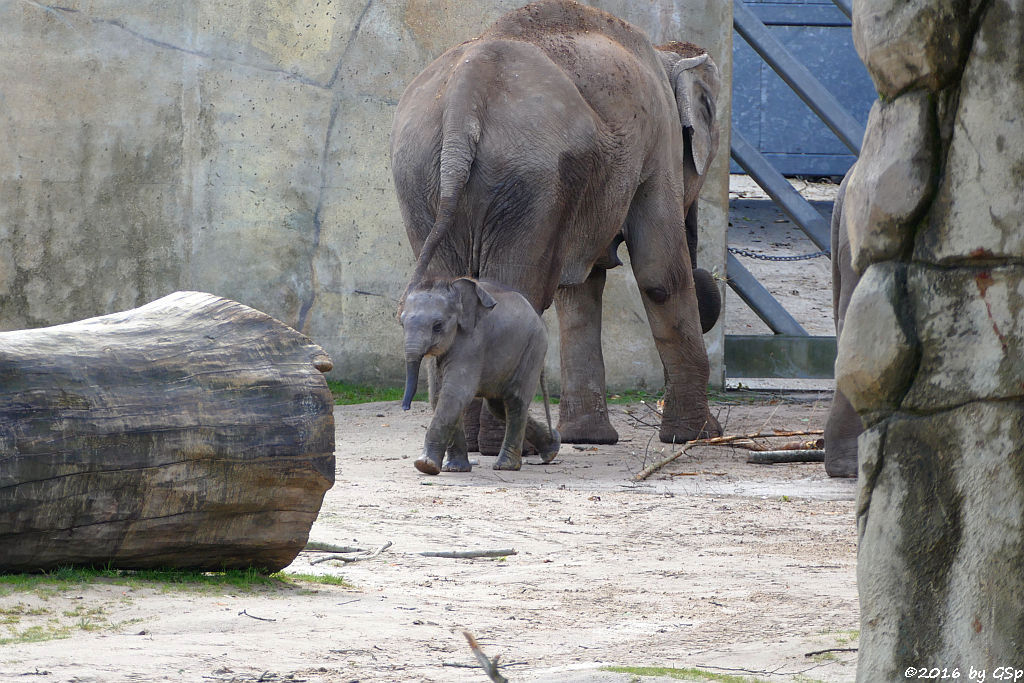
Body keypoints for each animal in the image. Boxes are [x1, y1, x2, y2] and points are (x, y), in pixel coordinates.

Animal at [389, 0, 720, 444]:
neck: (661, 52)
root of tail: (464, 95)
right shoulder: (658, 144)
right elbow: (660, 277)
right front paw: (698, 436)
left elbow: (578, 290)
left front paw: (589, 439)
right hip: (530, 176)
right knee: (521, 292)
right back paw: (515, 442)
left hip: (423, 172)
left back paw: (476, 441)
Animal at [399, 278, 561, 475]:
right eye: (402, 324)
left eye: (437, 326)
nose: (405, 407)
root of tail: (539, 316)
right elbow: (438, 396)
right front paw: (455, 469)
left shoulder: (471, 345)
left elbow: (455, 394)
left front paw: (425, 466)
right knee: (497, 407)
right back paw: (552, 448)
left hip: (533, 349)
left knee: (515, 401)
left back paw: (506, 466)